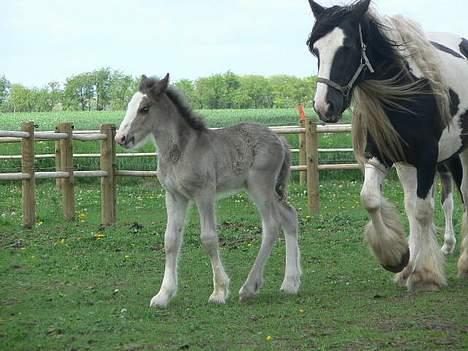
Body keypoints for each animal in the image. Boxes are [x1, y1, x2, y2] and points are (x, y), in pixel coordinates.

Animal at [306, 0, 468, 292]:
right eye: (315, 49)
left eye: (348, 47)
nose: (324, 106)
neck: (408, 91)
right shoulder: (381, 154)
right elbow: (371, 199)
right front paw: (398, 258)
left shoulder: (428, 158)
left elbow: (424, 211)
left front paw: (425, 274)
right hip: (408, 164)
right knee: (412, 204)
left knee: (462, 196)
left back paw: (463, 263)